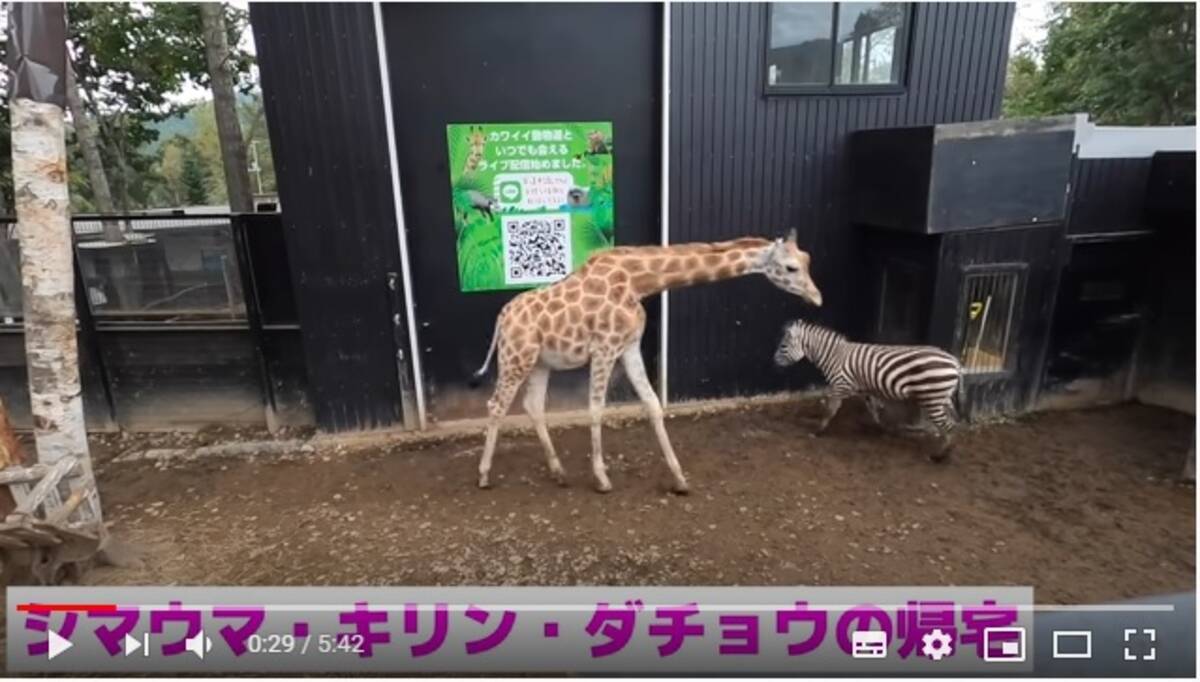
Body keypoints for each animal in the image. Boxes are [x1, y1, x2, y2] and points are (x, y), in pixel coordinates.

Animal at [472, 231, 820, 492]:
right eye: (791, 267)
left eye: (808, 260)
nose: (817, 298)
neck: (639, 283)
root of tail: (502, 318)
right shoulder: (605, 347)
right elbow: (595, 408)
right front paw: (602, 478)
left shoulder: (629, 347)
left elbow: (653, 405)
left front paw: (679, 479)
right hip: (516, 357)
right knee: (496, 405)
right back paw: (484, 474)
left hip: (540, 362)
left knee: (533, 405)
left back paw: (559, 473)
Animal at [772, 321, 960, 461]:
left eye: (783, 346)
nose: (773, 362)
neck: (834, 357)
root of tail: (955, 362)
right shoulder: (864, 390)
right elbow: (874, 410)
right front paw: (883, 430)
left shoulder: (840, 386)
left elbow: (830, 410)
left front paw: (818, 431)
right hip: (942, 398)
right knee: (951, 422)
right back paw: (945, 450)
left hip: (932, 398)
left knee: (948, 425)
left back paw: (939, 456)